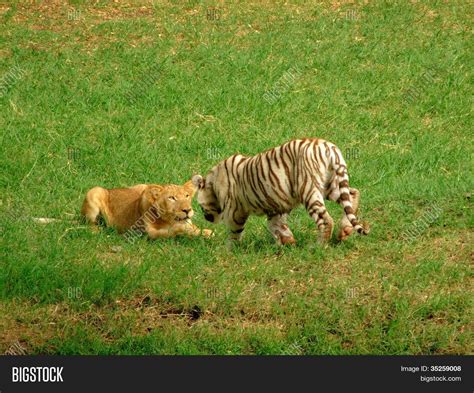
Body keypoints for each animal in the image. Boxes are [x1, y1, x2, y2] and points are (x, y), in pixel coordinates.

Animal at [191, 136, 368, 243]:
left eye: (200, 206)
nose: (206, 218)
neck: (213, 184)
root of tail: (329, 147)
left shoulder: (236, 212)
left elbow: (235, 234)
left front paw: (229, 251)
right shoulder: (276, 206)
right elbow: (276, 226)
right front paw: (287, 243)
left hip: (309, 190)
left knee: (326, 220)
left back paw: (319, 246)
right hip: (331, 186)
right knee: (353, 194)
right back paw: (345, 230)